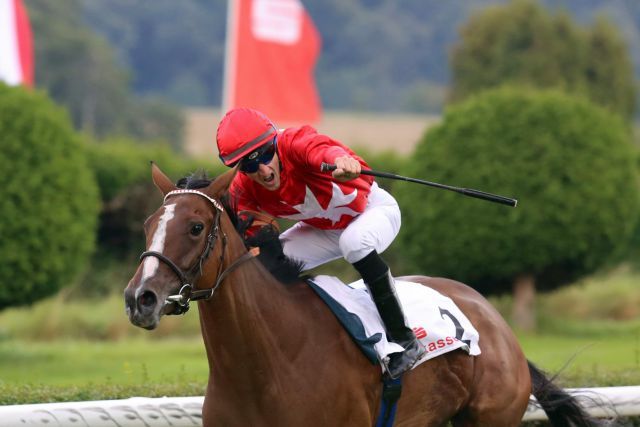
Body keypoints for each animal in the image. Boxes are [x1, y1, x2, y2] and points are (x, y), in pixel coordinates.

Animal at [125, 164, 600, 427]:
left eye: (196, 227)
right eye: (148, 224)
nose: (139, 298)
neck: (268, 362)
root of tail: (496, 322)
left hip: (489, 420)